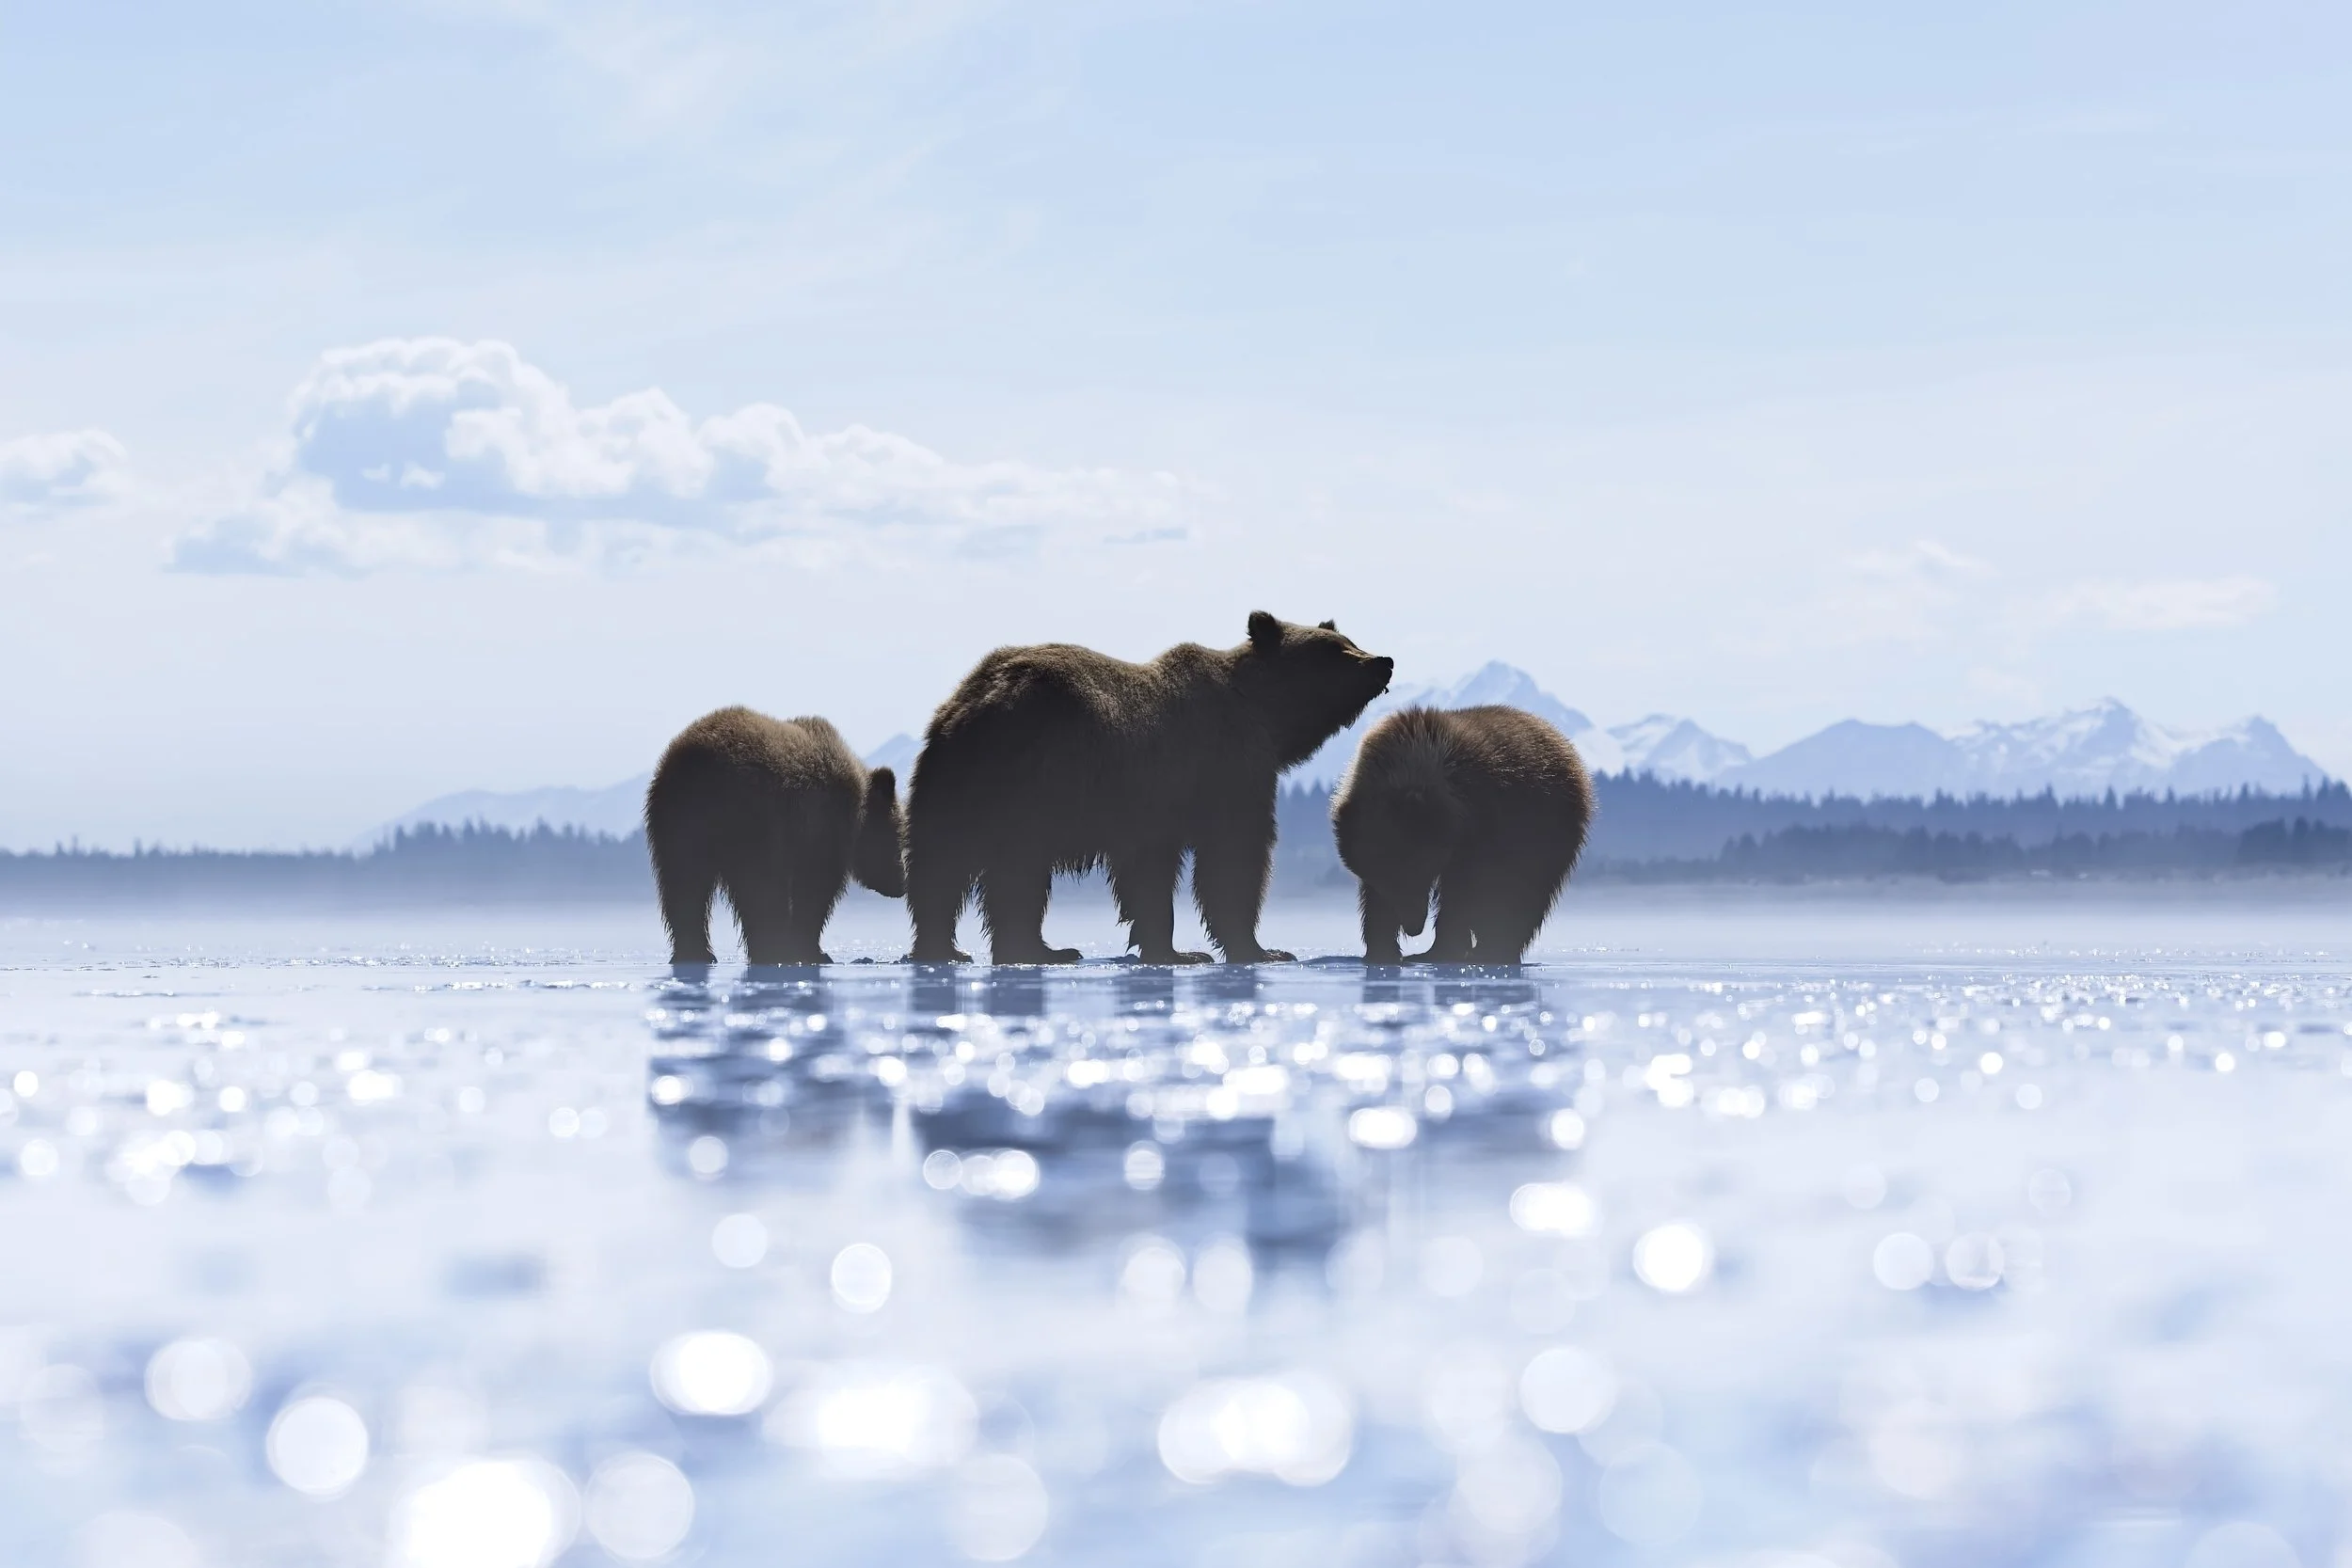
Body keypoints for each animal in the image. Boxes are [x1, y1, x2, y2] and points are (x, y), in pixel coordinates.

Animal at [644, 707, 906, 966]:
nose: (901, 883)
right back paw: (771, 949)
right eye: (900, 838)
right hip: (751, 818)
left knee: (684, 884)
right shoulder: (822, 830)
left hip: (678, 822)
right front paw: (811, 950)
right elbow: (814, 888)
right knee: (758, 887)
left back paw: (696, 952)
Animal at [904, 612, 1394, 965]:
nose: (1383, 661)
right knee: (1014, 871)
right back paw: (1037, 949)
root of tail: (974, 702)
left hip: (949, 780)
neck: (1265, 719)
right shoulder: (1217, 773)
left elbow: (1147, 875)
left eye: (1349, 640)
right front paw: (1254, 948)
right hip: (1032, 780)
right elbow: (1231, 858)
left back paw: (949, 947)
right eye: (1335, 651)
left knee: (940, 868)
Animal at [1331, 704, 1593, 965]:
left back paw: (1495, 947)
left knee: (1524, 891)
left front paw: (1443, 948)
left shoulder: (1480, 824)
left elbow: (1464, 891)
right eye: (1383, 878)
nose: (1413, 927)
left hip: (1549, 827)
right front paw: (1382, 950)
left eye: (1417, 870)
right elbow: (1374, 900)